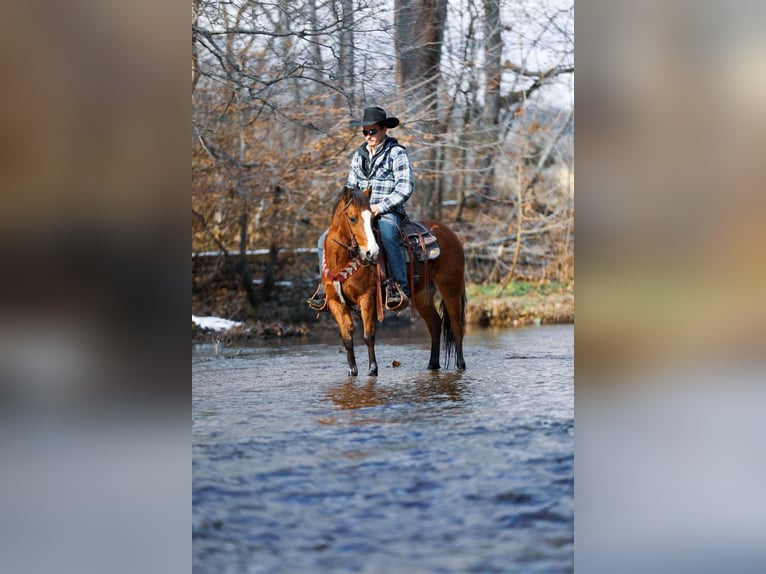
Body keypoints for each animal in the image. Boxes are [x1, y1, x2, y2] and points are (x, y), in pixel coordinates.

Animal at [320, 187, 468, 378]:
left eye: (372, 218)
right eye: (352, 218)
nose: (372, 252)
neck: (341, 261)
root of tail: (449, 233)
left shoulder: (367, 297)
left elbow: (368, 335)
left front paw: (373, 369)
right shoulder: (335, 302)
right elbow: (347, 338)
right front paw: (352, 371)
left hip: (451, 287)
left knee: (456, 326)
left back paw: (460, 365)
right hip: (422, 295)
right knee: (435, 325)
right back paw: (432, 365)